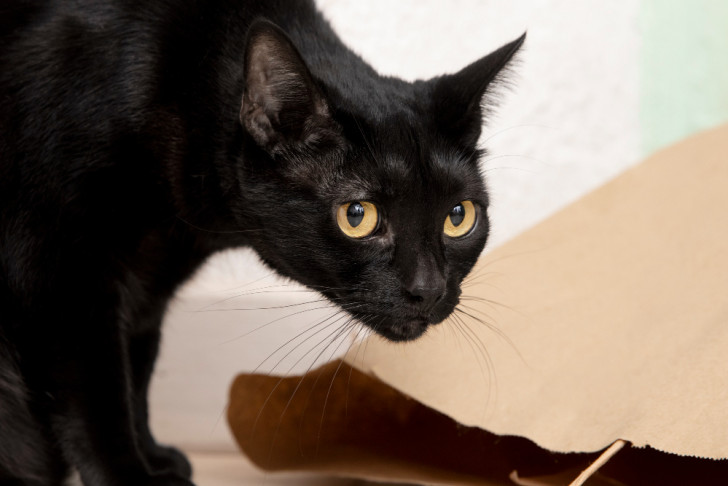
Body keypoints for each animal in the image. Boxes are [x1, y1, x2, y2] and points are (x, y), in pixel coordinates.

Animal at [0, 1, 524, 484]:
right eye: (357, 216)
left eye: (459, 217)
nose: (429, 289)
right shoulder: (64, 273)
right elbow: (99, 394)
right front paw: (130, 477)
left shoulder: (149, 281)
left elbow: (137, 370)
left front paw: (155, 459)